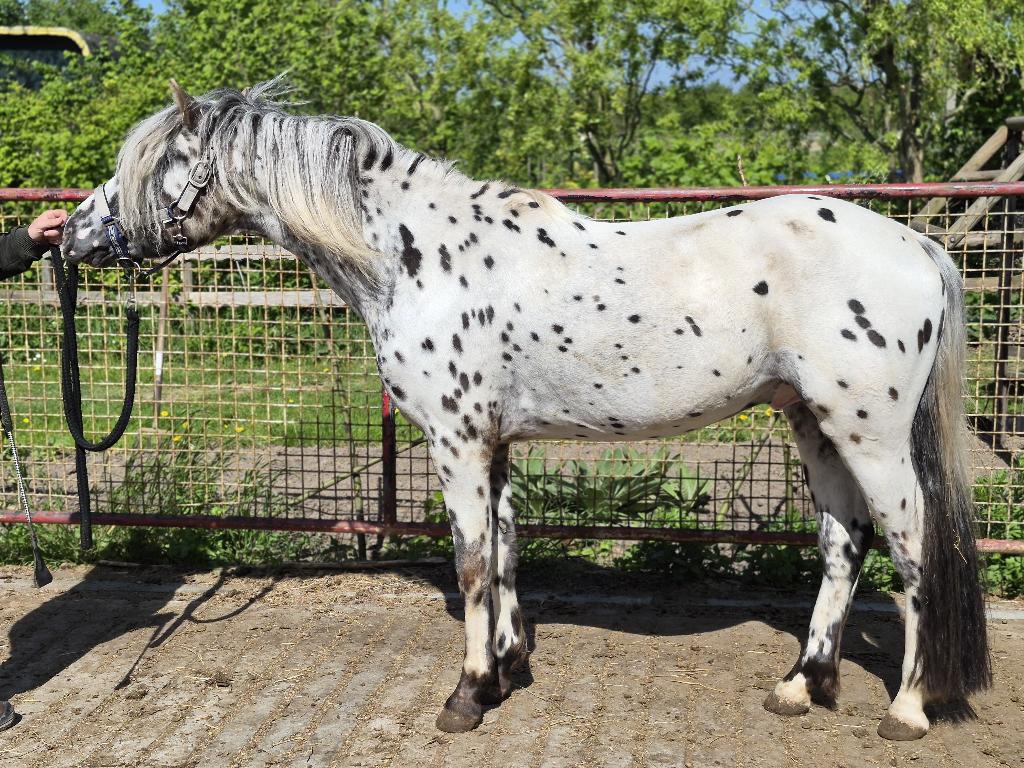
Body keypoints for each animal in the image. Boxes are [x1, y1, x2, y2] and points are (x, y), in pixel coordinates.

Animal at [61, 78, 991, 741]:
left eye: (152, 165)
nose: (71, 237)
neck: (412, 256)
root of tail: (917, 244)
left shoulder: (457, 441)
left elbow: (472, 563)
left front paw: (467, 695)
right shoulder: (495, 442)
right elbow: (507, 554)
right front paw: (507, 669)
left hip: (871, 435)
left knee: (913, 550)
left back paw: (909, 709)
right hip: (812, 426)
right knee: (844, 546)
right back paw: (802, 687)